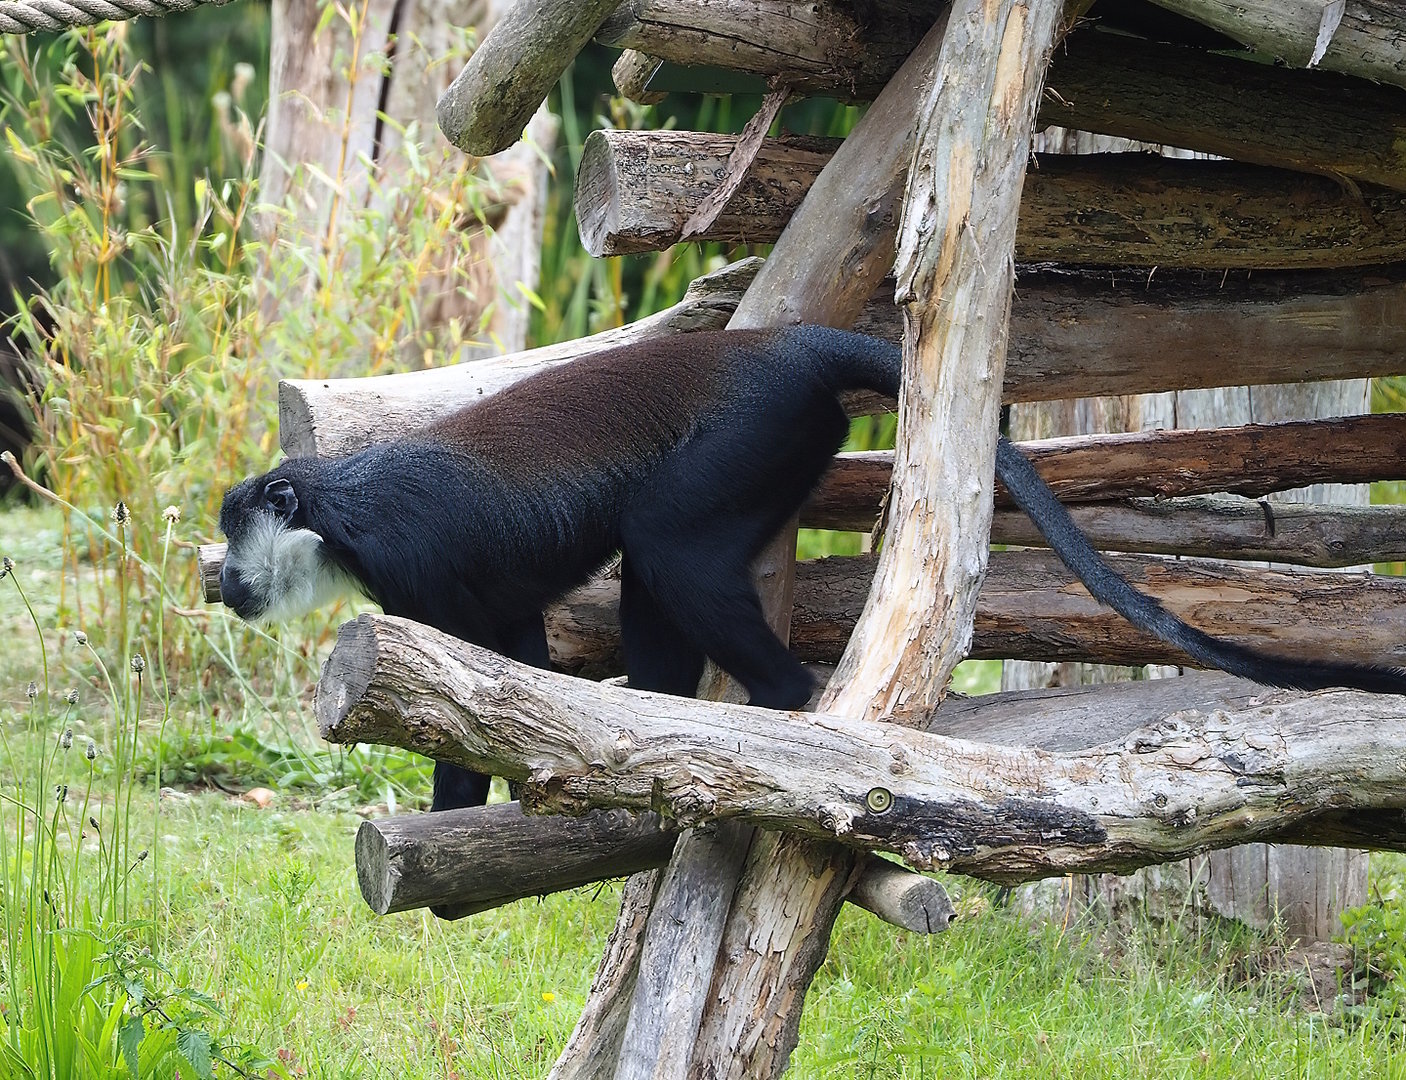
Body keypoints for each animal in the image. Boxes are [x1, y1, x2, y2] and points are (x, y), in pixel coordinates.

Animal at [217, 326, 1406, 811]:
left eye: (234, 535)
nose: (218, 577)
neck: (334, 514)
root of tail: (782, 345)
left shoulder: (413, 563)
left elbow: (473, 677)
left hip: (755, 436)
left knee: (667, 547)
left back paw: (781, 708)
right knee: (656, 574)